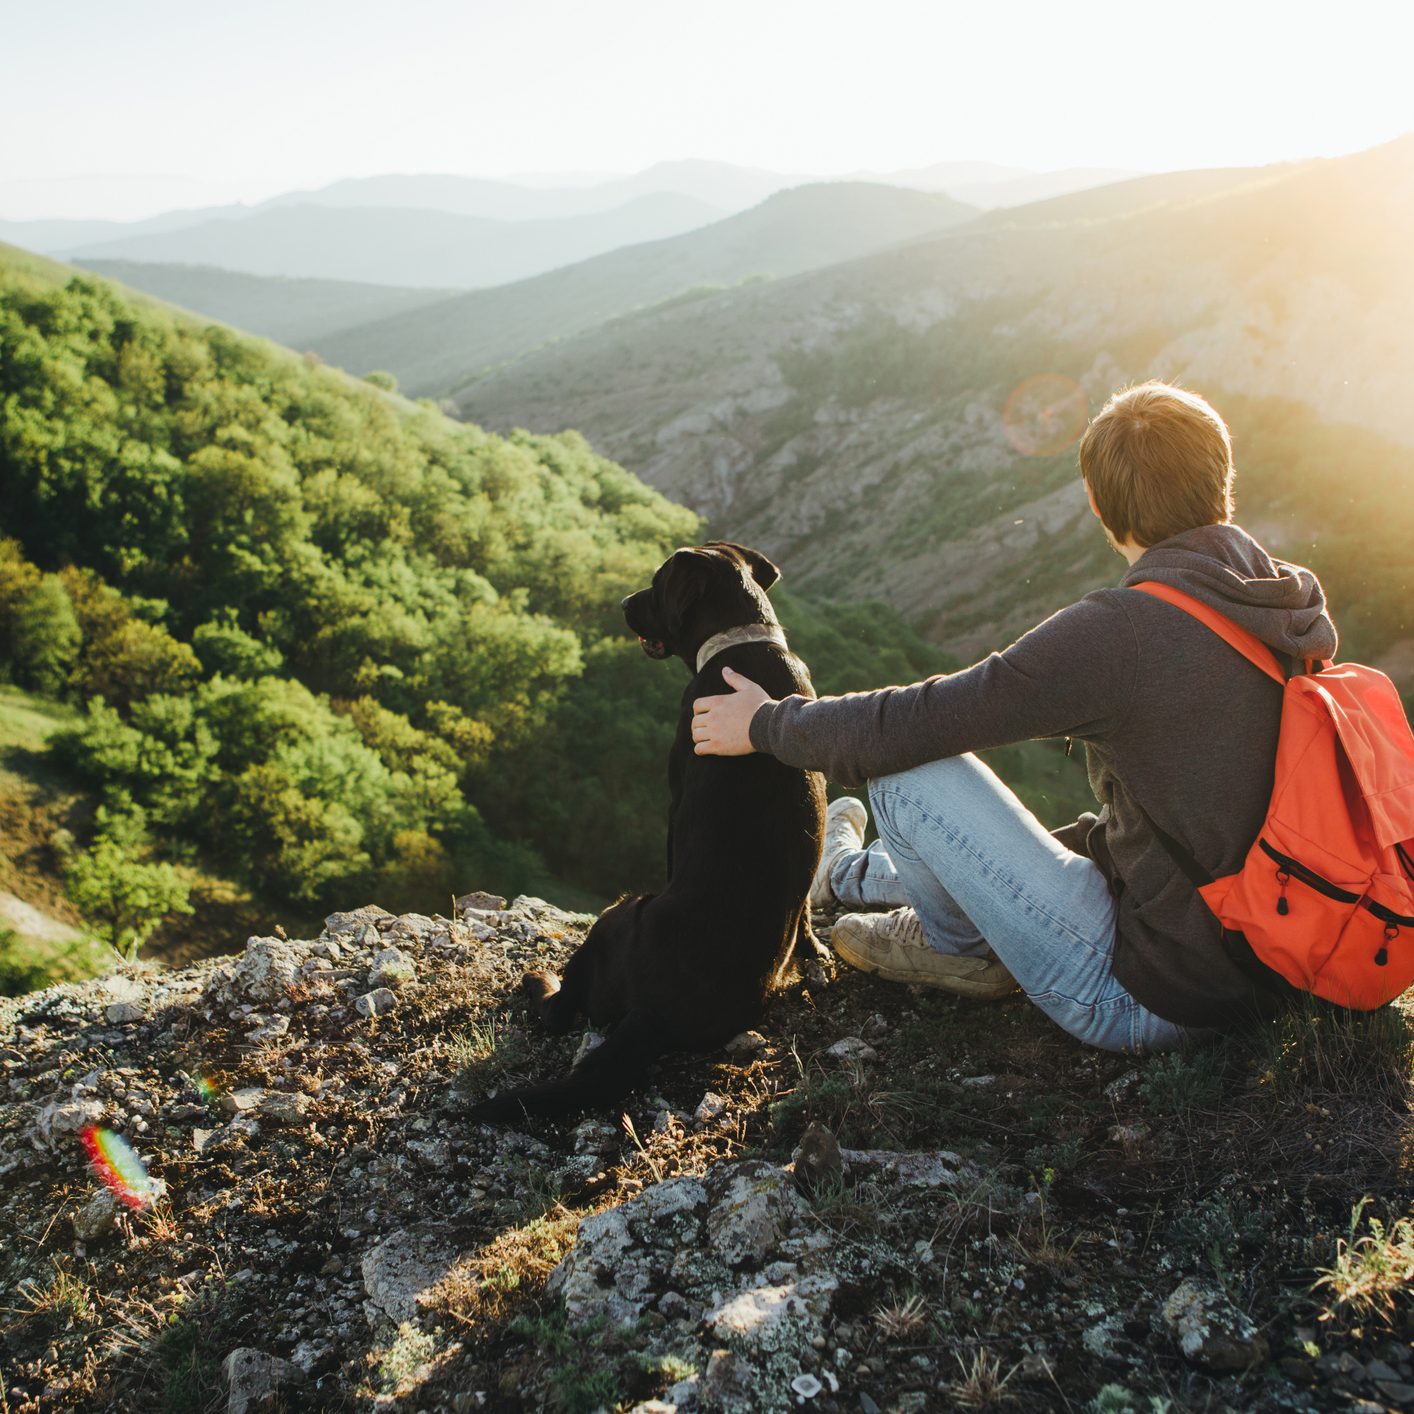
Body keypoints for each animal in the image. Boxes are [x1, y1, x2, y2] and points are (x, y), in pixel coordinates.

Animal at [469, 534, 825, 1119]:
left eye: (656, 586)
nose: (621, 602)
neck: (740, 644)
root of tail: (656, 1014)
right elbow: (809, 908)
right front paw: (815, 951)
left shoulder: (674, 799)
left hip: (615, 915)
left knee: (561, 1012)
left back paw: (539, 980)